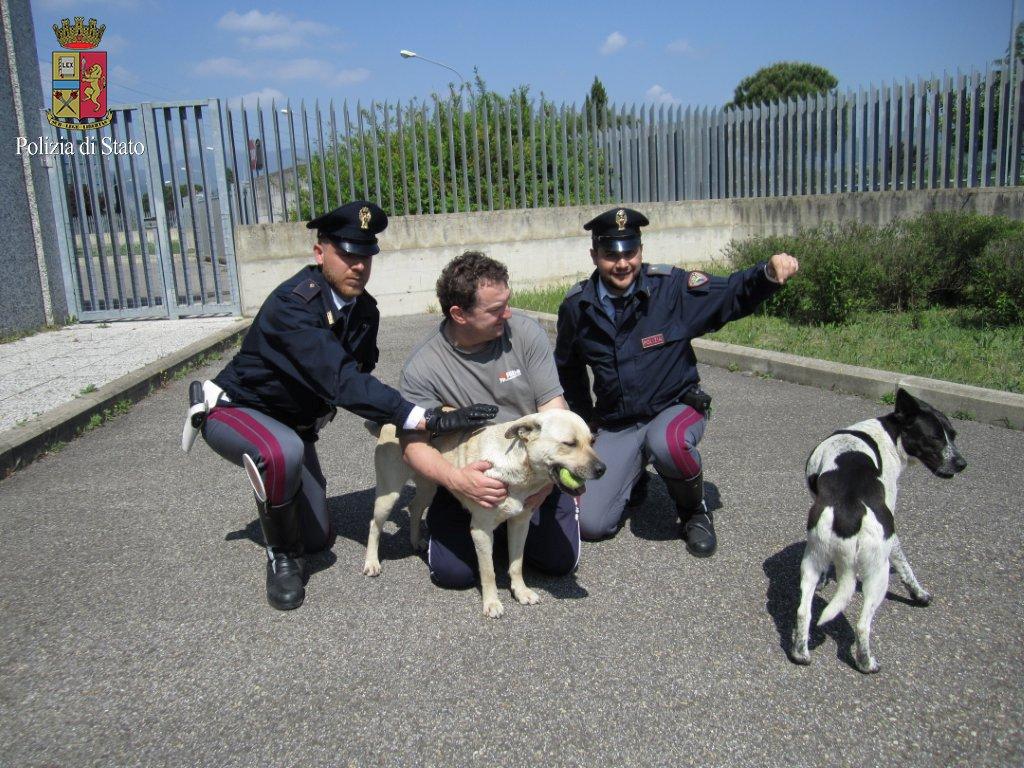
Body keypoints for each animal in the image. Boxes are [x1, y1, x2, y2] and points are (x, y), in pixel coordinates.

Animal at [364, 409, 602, 618]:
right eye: (569, 444)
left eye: (592, 441)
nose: (602, 469)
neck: (519, 468)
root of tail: (390, 422)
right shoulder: (481, 530)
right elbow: (488, 571)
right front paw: (492, 603)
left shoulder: (520, 523)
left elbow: (517, 564)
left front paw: (521, 591)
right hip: (389, 493)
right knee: (374, 525)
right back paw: (372, 562)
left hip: (428, 486)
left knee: (414, 507)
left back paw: (416, 541)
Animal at [790, 391, 966, 671]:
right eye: (935, 438)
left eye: (953, 434)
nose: (962, 464)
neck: (887, 433)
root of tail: (849, 509)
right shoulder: (891, 531)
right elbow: (905, 566)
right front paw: (920, 594)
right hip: (877, 574)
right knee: (863, 624)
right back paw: (867, 662)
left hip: (811, 561)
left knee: (803, 611)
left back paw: (801, 653)